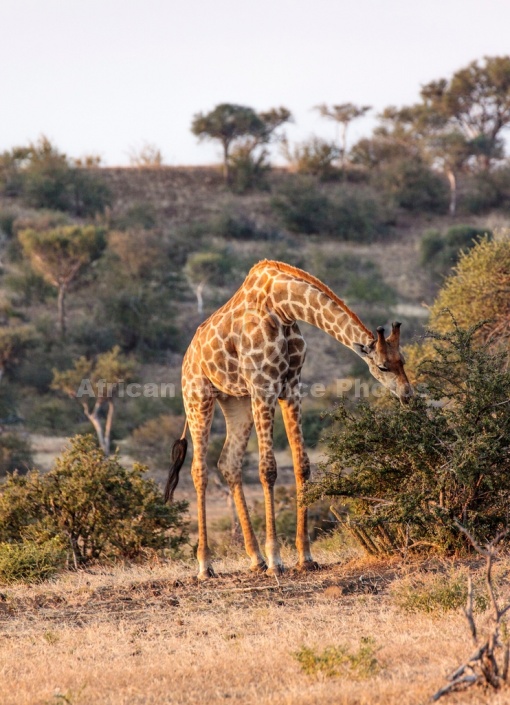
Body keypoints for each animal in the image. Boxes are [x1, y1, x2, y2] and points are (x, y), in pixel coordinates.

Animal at [165, 258, 412, 576]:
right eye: (382, 366)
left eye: (402, 360)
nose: (407, 394)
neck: (282, 305)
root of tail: (187, 358)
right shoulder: (264, 385)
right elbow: (268, 469)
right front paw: (276, 559)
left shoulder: (291, 387)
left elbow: (301, 466)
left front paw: (305, 556)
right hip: (198, 397)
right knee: (199, 470)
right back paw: (206, 565)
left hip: (236, 401)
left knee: (228, 463)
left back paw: (255, 559)